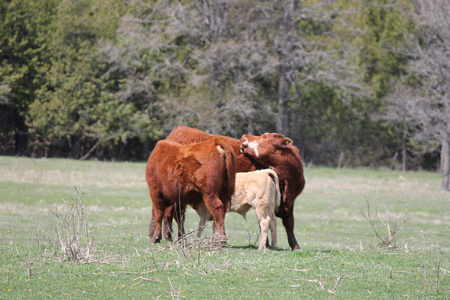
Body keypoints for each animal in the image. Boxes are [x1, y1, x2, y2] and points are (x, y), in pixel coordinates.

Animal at [152, 125, 306, 250]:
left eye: (264, 137)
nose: (244, 137)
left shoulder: (288, 203)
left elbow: (289, 223)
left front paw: (294, 245)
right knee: (165, 211)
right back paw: (163, 235)